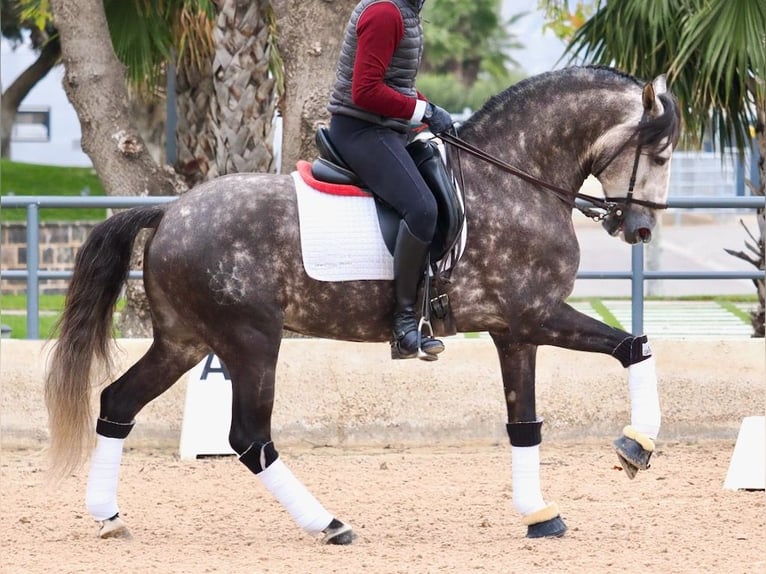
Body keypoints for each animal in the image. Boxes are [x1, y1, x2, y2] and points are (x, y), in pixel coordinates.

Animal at [45, 66, 684, 544]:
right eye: (660, 153)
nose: (641, 230)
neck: (516, 181)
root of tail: (169, 211)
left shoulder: (514, 331)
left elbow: (524, 424)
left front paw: (539, 515)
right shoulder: (537, 314)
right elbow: (635, 345)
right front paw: (636, 446)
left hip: (184, 341)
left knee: (118, 401)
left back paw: (107, 516)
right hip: (250, 342)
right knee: (249, 438)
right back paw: (328, 524)